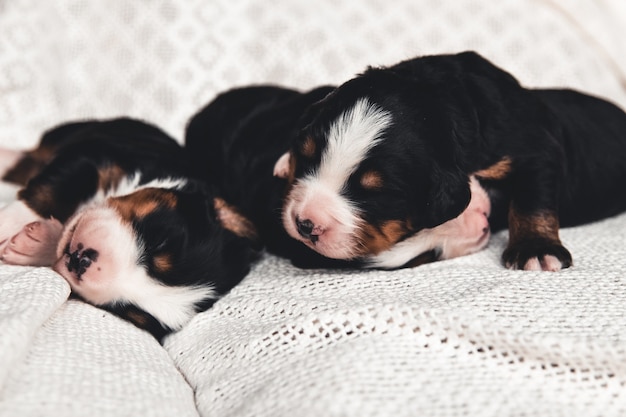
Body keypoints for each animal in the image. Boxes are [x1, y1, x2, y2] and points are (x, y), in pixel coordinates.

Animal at [0, 118, 258, 340]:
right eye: (161, 241)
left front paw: (34, 243)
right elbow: (53, 189)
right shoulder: (96, 156)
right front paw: (9, 224)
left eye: (125, 310)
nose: (81, 260)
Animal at [270, 51, 624, 270]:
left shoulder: (534, 150)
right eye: (306, 155)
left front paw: (536, 250)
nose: (304, 223)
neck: (439, 101)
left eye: (374, 195)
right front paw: (284, 162)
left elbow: (532, 201)